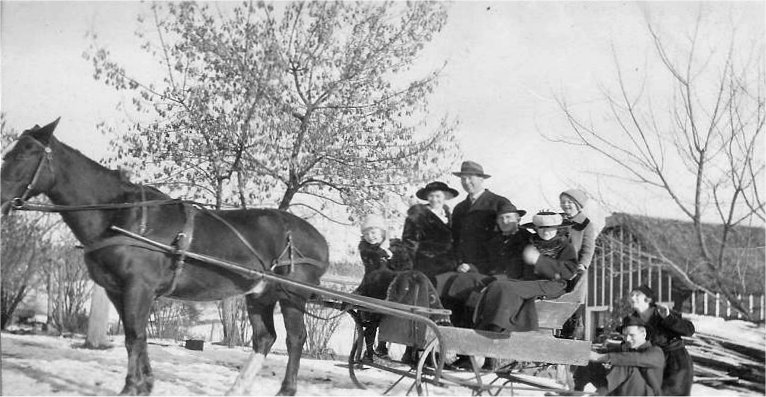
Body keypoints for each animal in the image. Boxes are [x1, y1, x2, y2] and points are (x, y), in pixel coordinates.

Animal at [0, 119, 330, 394]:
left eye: (27, 153)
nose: (2, 201)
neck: (121, 215)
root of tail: (318, 240)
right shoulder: (117, 290)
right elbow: (137, 336)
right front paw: (145, 384)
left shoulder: (139, 287)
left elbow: (134, 335)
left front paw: (132, 387)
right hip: (260, 295)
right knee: (264, 338)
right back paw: (237, 389)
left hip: (292, 296)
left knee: (295, 339)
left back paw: (286, 390)